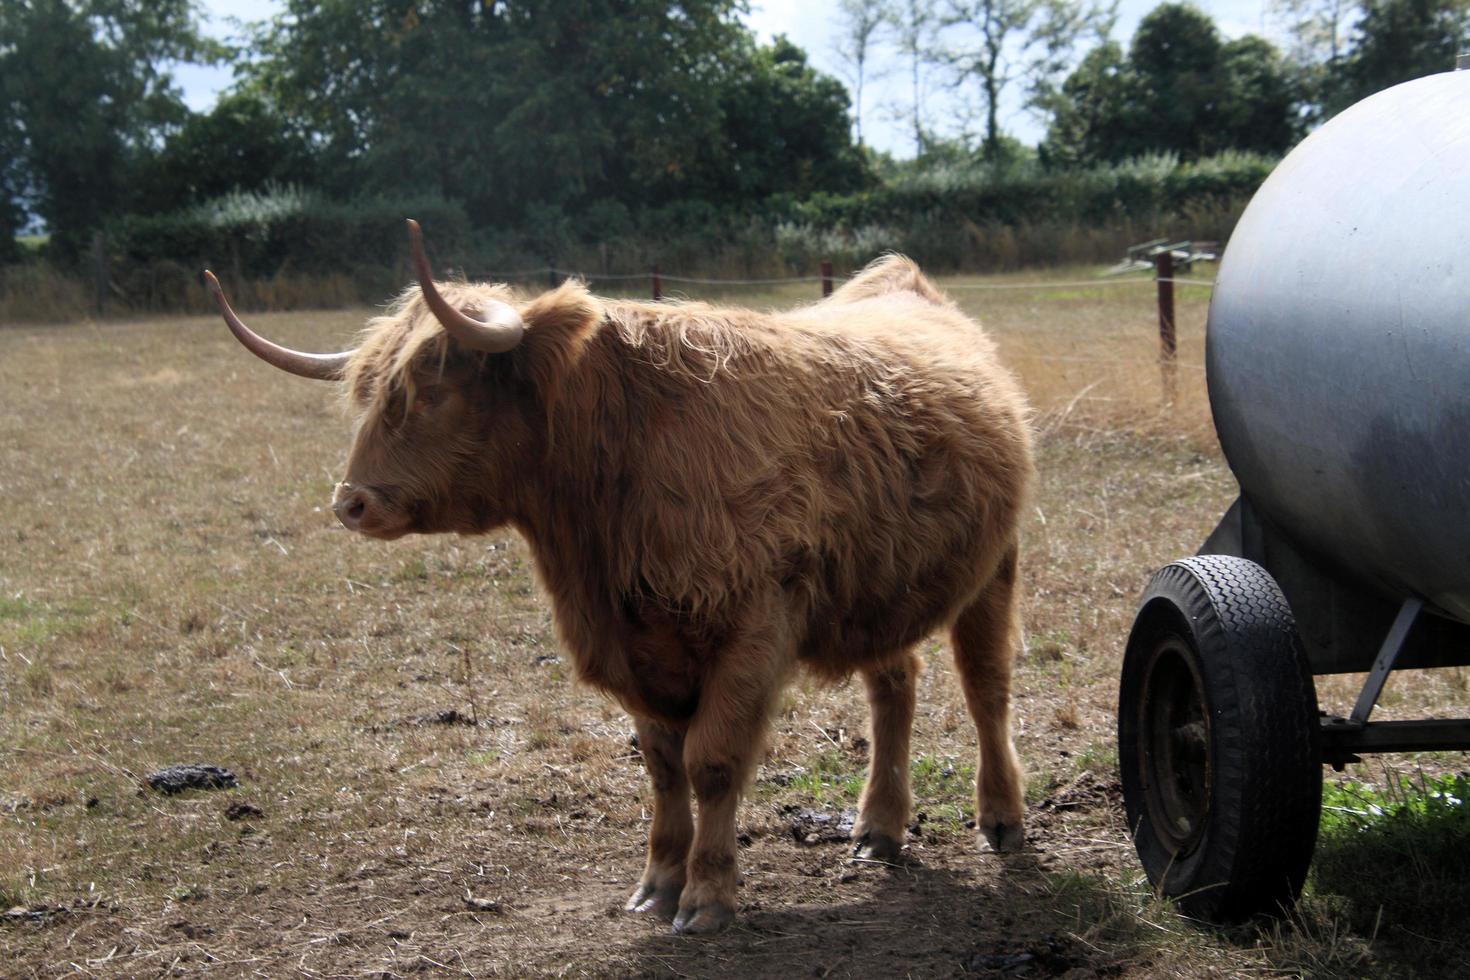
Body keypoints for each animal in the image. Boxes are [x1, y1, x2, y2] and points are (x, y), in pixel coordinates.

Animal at [210, 221, 1034, 934]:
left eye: (430, 391)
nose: (350, 502)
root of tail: (908, 283)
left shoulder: (754, 626)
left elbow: (712, 762)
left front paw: (706, 898)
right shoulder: (635, 644)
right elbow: (664, 766)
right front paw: (658, 883)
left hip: (995, 566)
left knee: (985, 688)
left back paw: (1001, 818)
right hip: (879, 584)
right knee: (894, 686)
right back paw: (878, 830)